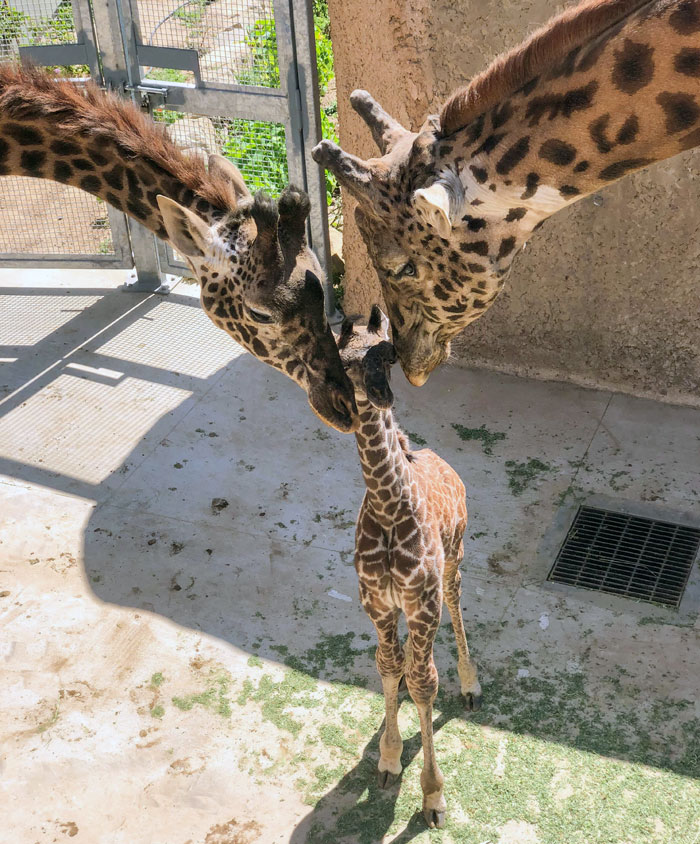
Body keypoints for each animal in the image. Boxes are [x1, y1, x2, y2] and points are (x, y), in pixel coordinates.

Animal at [338, 306, 482, 828]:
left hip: (454, 562)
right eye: (343, 360)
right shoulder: (377, 603)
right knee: (402, 661)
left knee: (455, 609)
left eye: (387, 354)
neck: (388, 508)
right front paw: (387, 759)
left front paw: (433, 798)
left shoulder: (422, 603)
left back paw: (470, 684)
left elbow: (424, 686)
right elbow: (387, 664)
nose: (380, 395)